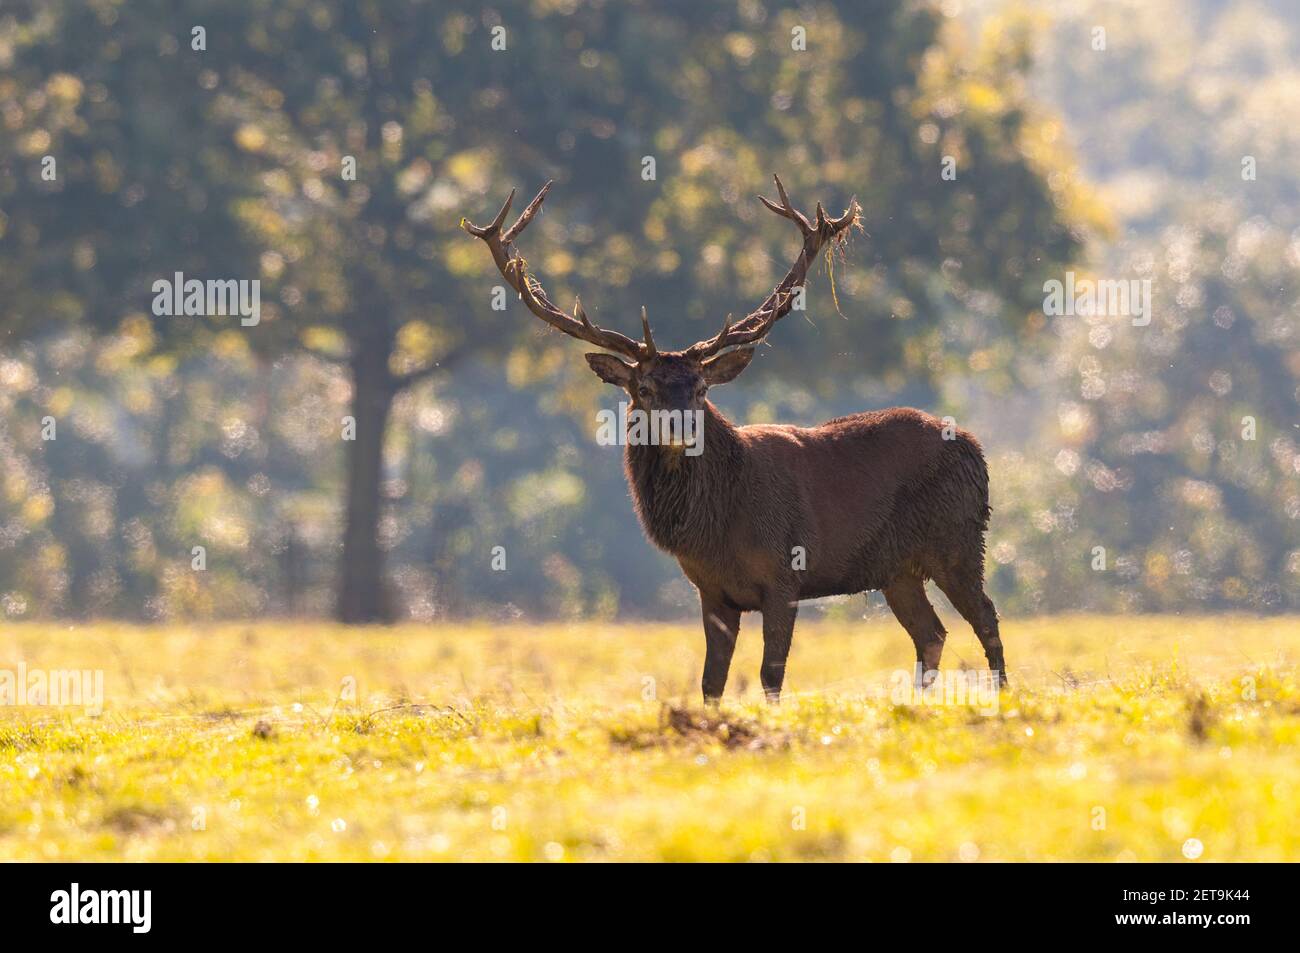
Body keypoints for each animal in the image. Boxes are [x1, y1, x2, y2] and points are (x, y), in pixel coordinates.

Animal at [462, 176, 1008, 707]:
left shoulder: (786, 573)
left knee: (985, 618)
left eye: (702, 389)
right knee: (931, 633)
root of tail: (975, 448)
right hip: (898, 569)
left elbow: (771, 674)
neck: (716, 529)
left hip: (958, 537)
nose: (681, 428)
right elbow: (712, 680)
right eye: (644, 389)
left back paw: (1003, 696)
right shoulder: (711, 590)